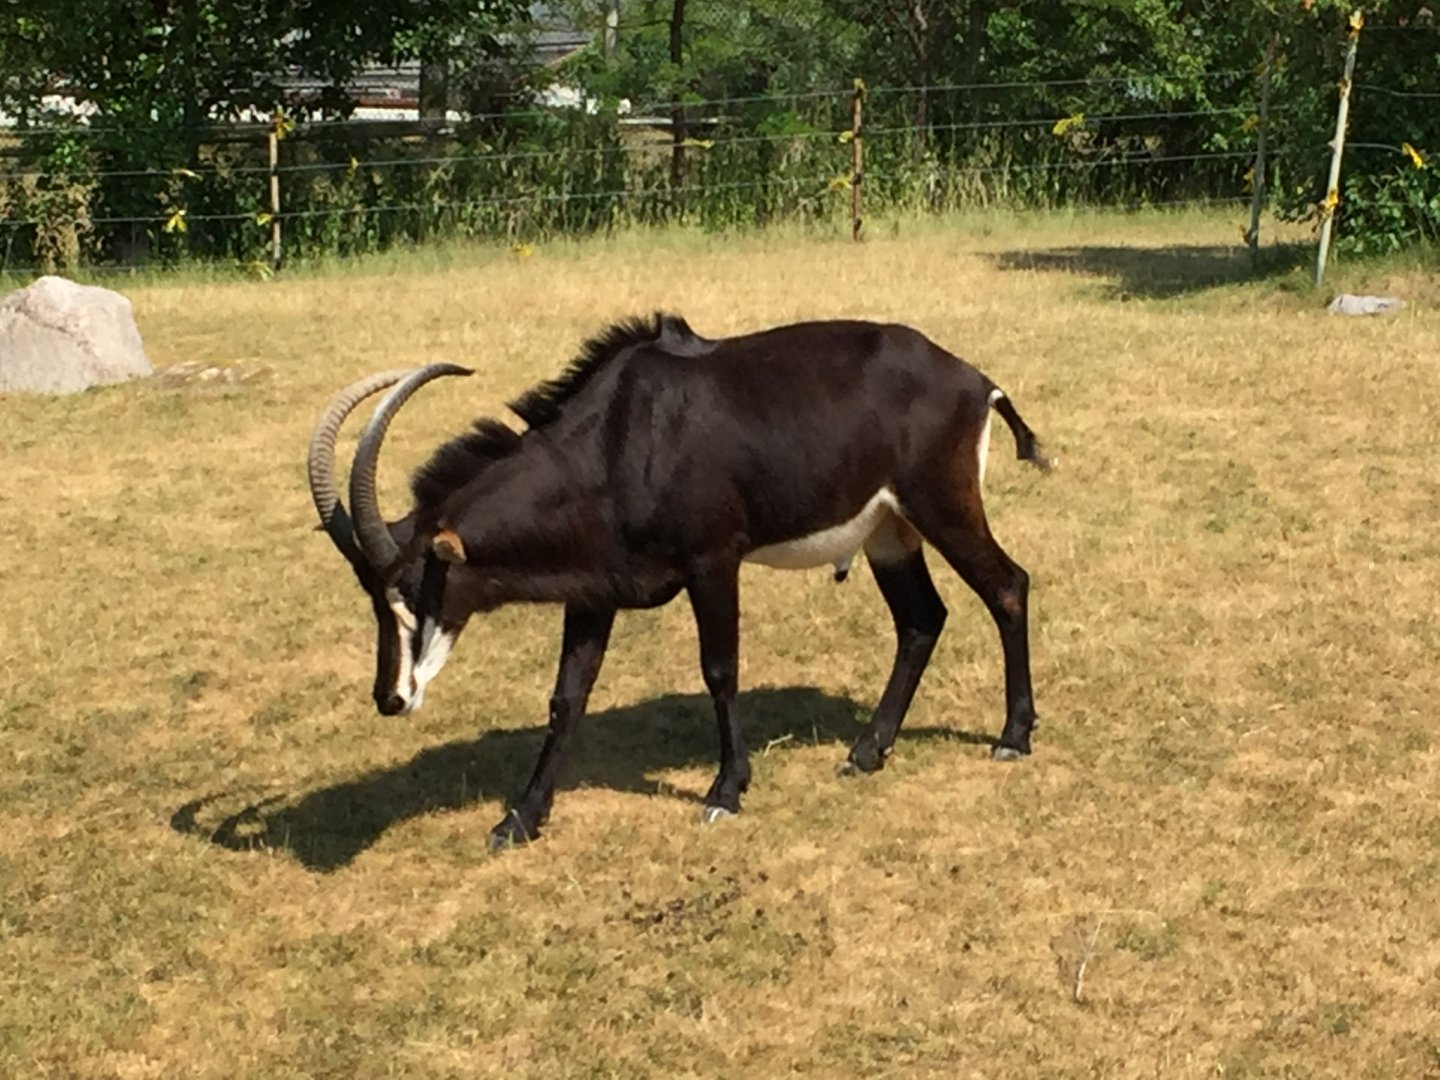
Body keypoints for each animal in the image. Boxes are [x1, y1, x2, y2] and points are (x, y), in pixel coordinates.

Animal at [307, 314, 1051, 849]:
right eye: (372, 596)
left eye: (409, 588)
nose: (389, 698)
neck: (619, 439)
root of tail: (973, 380)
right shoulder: (593, 593)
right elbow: (566, 696)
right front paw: (520, 818)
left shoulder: (712, 562)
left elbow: (719, 669)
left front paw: (726, 791)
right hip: (889, 533)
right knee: (922, 619)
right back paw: (867, 751)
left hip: (942, 507)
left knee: (1008, 586)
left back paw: (1013, 737)